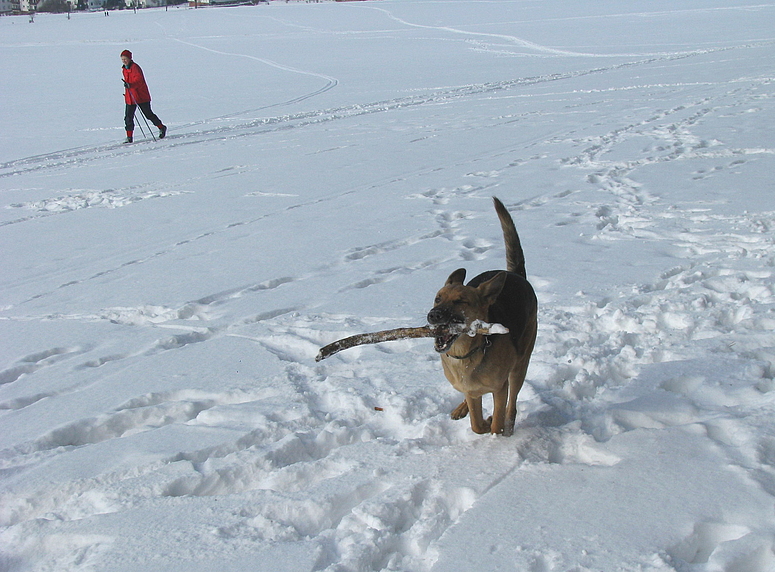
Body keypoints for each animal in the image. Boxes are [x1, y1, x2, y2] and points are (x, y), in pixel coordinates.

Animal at [428, 199, 536, 436]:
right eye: (438, 299)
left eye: (460, 301)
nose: (433, 315)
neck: (465, 355)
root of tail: (515, 275)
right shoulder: (470, 389)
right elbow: (476, 425)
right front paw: (481, 421)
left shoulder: (500, 388)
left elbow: (496, 422)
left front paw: (494, 427)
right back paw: (462, 408)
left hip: (520, 366)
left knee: (512, 405)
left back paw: (509, 425)